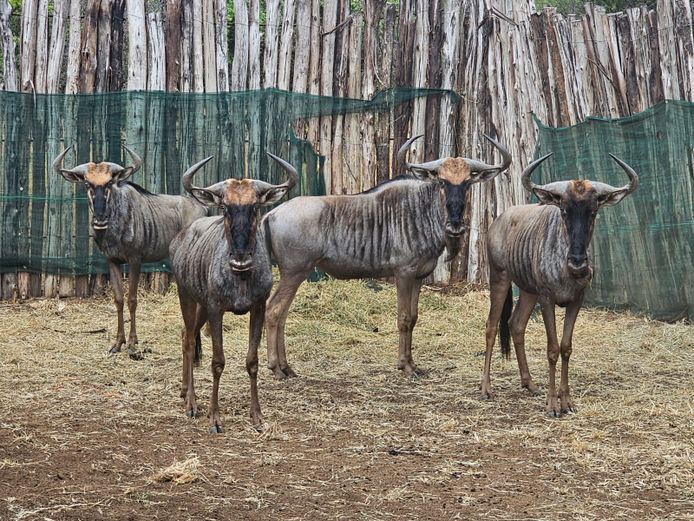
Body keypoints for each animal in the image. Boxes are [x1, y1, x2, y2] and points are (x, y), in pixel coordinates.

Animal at [53, 146, 207, 360]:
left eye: (110, 182)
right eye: (86, 183)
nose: (100, 218)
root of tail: (203, 207)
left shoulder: (135, 260)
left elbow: (132, 300)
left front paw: (133, 345)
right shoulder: (112, 261)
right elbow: (118, 299)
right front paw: (118, 343)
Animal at [169, 152, 297, 433]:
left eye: (255, 207)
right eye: (225, 208)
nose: (240, 259)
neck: (240, 276)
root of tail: (181, 238)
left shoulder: (257, 308)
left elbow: (252, 361)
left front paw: (257, 417)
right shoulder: (217, 309)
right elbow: (217, 362)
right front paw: (215, 419)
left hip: (201, 307)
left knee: (186, 334)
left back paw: (184, 391)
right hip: (187, 297)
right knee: (188, 341)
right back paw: (191, 403)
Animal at [263, 135, 511, 379]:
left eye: (468, 182)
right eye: (441, 182)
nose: (455, 226)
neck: (421, 210)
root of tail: (272, 213)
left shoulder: (418, 277)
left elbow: (413, 318)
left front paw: (413, 364)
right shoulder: (403, 274)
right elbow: (403, 318)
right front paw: (404, 366)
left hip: (294, 275)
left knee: (281, 314)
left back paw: (287, 368)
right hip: (293, 273)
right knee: (274, 311)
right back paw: (276, 367)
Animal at [480, 153, 638, 416]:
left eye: (593, 212)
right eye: (564, 210)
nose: (578, 263)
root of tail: (499, 221)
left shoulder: (576, 301)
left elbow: (566, 347)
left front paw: (566, 401)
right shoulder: (547, 300)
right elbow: (552, 349)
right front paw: (553, 405)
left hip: (528, 291)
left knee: (516, 324)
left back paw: (529, 383)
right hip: (499, 278)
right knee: (492, 327)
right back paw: (486, 388)